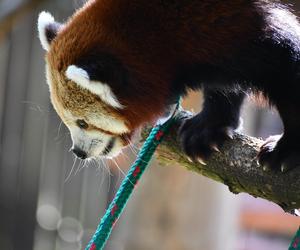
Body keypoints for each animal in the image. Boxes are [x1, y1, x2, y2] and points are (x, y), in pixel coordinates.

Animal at [38, 0, 300, 172]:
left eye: (82, 122)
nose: (78, 152)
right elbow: (224, 87)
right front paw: (208, 127)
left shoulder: (242, 20)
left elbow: (287, 61)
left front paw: (286, 148)